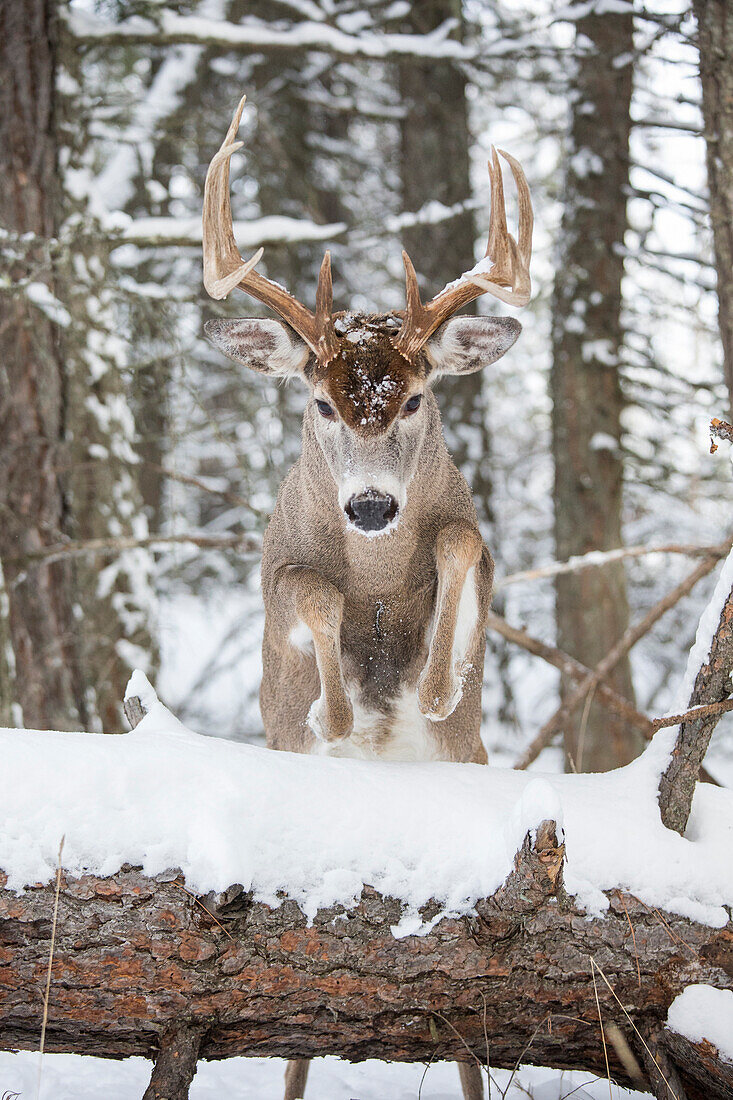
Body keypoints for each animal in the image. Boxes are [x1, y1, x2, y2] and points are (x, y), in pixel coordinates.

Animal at [200, 92, 530, 1100]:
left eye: (416, 398)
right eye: (318, 404)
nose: (373, 505)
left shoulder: (469, 572)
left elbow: (464, 541)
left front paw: (435, 685)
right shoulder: (277, 579)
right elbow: (309, 590)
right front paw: (339, 712)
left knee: (468, 1045)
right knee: (296, 1046)